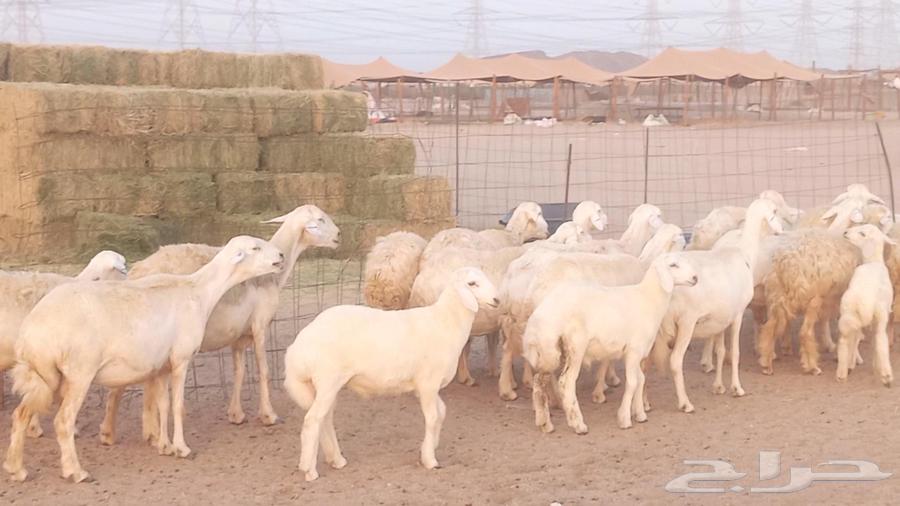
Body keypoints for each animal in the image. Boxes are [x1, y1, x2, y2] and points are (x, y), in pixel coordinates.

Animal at [99, 205, 340, 447]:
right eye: (320, 219)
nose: (339, 235)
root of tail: (137, 270)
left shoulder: (238, 336)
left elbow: (239, 372)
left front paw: (236, 414)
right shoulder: (260, 325)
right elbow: (263, 371)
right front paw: (268, 415)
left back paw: (119, 433)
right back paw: (142, 433)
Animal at [283, 267, 499, 482]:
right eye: (472, 283)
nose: (497, 299)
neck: (446, 322)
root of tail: (297, 348)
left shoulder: (425, 386)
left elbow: (441, 412)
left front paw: (429, 447)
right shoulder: (428, 383)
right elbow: (432, 417)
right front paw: (430, 459)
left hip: (326, 385)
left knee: (325, 419)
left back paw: (336, 459)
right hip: (328, 380)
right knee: (312, 421)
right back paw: (309, 470)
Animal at [523, 254, 698, 434]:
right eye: (673, 265)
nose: (695, 278)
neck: (648, 299)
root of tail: (541, 314)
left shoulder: (636, 352)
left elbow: (640, 379)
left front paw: (640, 414)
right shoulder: (634, 350)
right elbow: (632, 383)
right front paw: (625, 418)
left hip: (550, 350)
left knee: (539, 380)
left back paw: (544, 422)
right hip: (575, 346)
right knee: (566, 382)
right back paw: (578, 424)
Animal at [656, 198, 783, 413]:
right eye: (774, 211)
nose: (781, 231)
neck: (745, 253)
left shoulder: (720, 320)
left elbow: (721, 352)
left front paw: (718, 386)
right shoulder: (738, 314)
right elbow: (735, 352)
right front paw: (737, 388)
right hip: (686, 323)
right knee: (675, 361)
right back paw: (685, 403)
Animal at [836, 225, 895, 386]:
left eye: (862, 233)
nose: (845, 232)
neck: (873, 261)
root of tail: (863, 301)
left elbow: (855, 339)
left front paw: (852, 363)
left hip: (848, 313)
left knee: (846, 340)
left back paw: (842, 372)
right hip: (880, 316)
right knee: (880, 340)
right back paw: (886, 374)